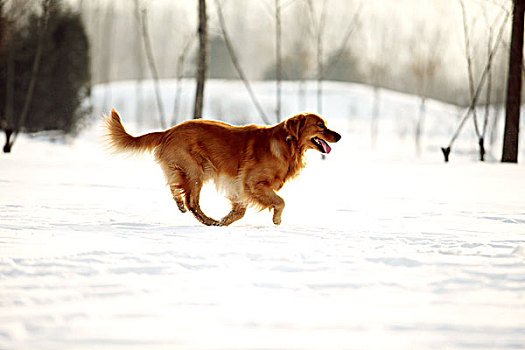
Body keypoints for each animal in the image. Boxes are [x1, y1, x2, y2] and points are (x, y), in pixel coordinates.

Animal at [106, 109, 340, 227]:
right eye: (320, 125)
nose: (338, 135)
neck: (288, 144)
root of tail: (168, 131)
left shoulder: (240, 187)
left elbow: (240, 211)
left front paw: (225, 222)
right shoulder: (250, 182)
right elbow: (280, 201)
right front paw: (277, 219)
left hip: (186, 169)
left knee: (176, 189)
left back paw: (186, 208)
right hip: (196, 171)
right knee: (192, 202)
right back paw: (207, 220)